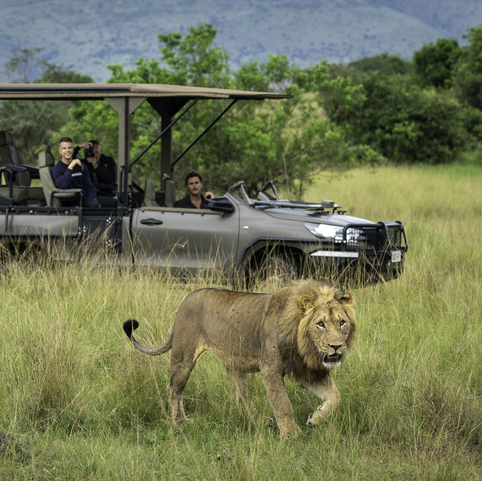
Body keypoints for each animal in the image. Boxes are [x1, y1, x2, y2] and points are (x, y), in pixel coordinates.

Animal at [122, 278, 356, 438]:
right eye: (320, 324)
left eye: (342, 322)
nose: (336, 347)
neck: (304, 345)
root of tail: (187, 297)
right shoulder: (270, 369)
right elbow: (283, 404)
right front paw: (291, 435)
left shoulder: (306, 371)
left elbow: (335, 396)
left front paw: (315, 418)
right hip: (183, 357)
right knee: (173, 388)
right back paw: (180, 422)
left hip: (235, 364)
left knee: (241, 397)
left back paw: (259, 422)